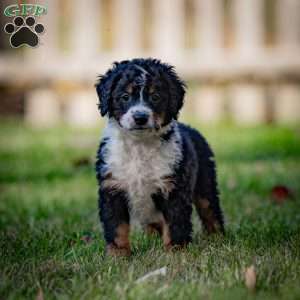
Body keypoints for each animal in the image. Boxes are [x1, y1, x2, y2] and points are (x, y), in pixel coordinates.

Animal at [95, 56, 224, 255]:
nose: (140, 117)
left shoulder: (173, 187)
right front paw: (118, 255)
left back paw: (218, 238)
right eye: (125, 97)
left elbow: (175, 223)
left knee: (210, 209)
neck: (139, 146)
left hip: (205, 181)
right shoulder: (112, 187)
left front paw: (175, 252)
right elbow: (116, 227)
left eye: (155, 97)